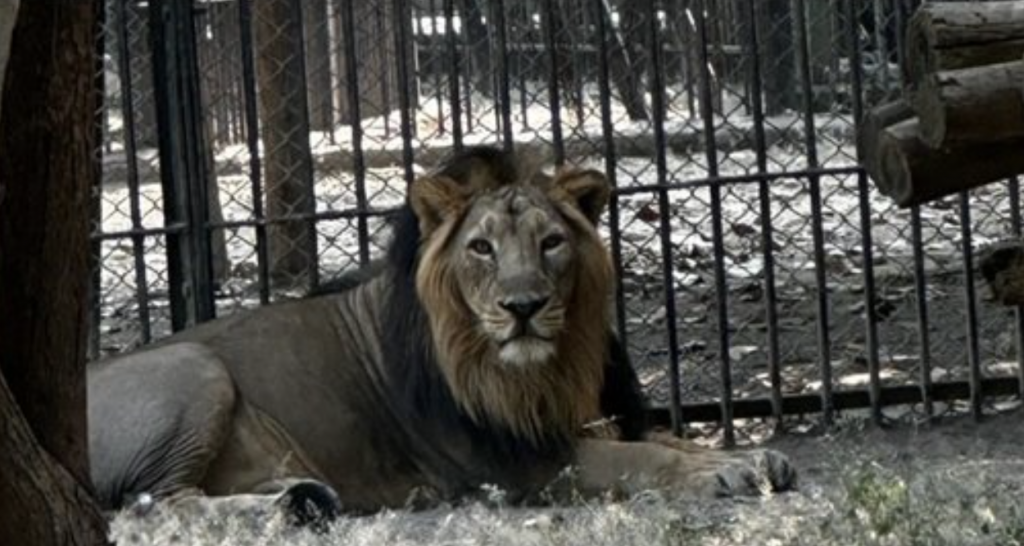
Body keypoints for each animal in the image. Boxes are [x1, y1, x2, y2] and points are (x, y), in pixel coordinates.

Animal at [88, 145, 794, 524]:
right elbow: (641, 457)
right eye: (481, 247)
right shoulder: (513, 463)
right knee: (154, 504)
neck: (549, 369)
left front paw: (752, 458)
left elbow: (665, 439)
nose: (523, 307)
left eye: (552, 242)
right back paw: (282, 511)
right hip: (191, 363)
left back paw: (303, 496)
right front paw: (725, 472)